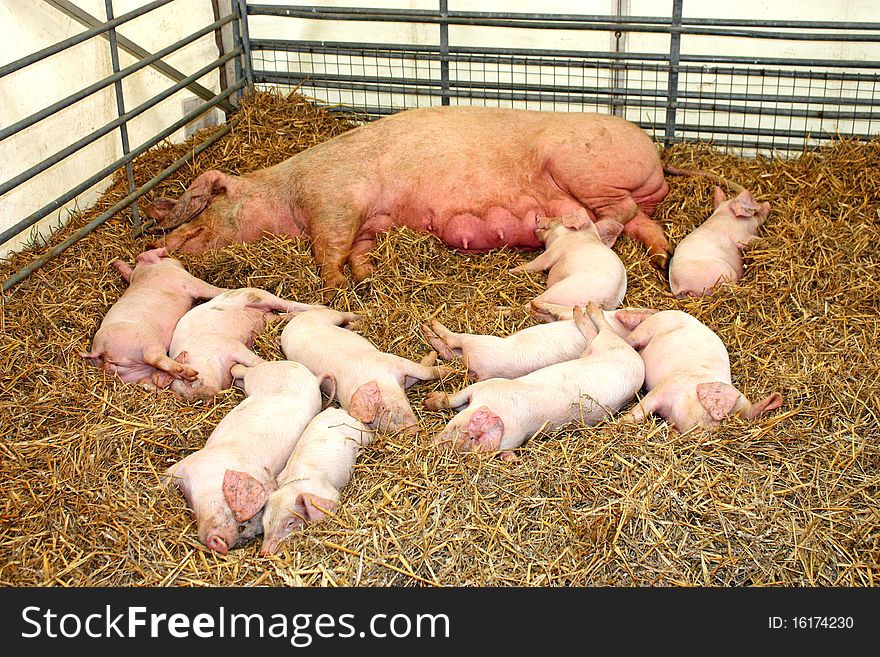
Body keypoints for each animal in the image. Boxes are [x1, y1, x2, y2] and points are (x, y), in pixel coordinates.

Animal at [144, 105, 672, 294]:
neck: (286, 193)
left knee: (618, 213)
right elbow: (358, 250)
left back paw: (598, 232)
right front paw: (365, 278)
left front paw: (334, 286)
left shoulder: (335, 200)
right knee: (646, 223)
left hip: (580, 166)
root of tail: (656, 159)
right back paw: (663, 259)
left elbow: (327, 247)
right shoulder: (369, 222)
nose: (162, 242)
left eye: (209, 206)